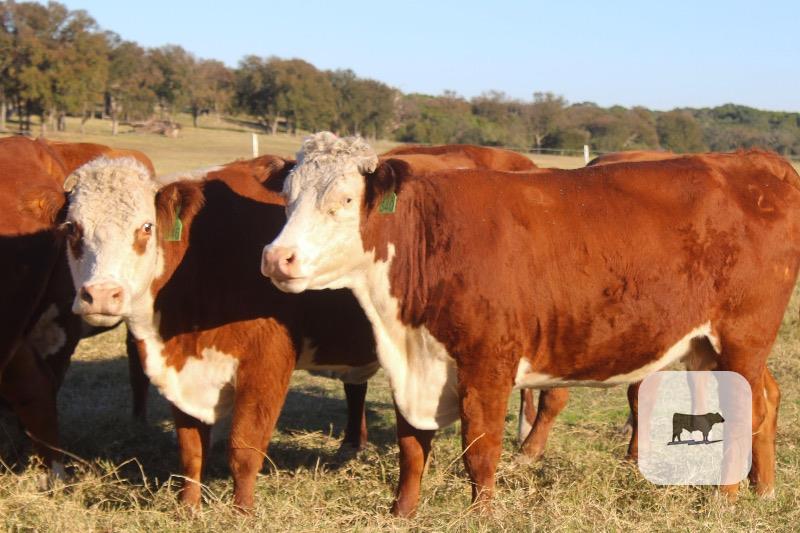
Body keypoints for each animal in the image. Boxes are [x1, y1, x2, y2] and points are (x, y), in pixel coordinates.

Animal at [262, 132, 797, 515]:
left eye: (345, 201)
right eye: (288, 198)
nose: (276, 257)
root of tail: (756, 163)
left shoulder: (487, 366)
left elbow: (480, 451)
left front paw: (480, 517)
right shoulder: (411, 364)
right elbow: (412, 447)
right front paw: (402, 514)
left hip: (743, 338)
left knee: (747, 406)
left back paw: (726, 498)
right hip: (713, 345)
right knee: (766, 398)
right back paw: (762, 488)